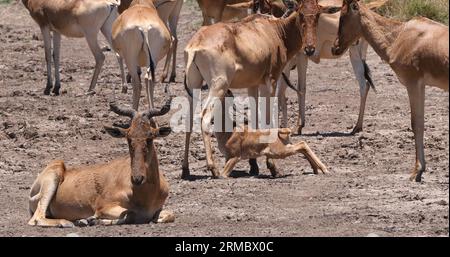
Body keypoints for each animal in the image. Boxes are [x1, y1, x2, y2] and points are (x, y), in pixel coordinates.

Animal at [27, 99, 173, 227]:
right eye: (128, 137)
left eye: (150, 136)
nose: (137, 178)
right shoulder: (104, 206)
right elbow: (129, 214)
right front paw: (90, 219)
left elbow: (169, 215)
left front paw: (88, 220)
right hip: (53, 177)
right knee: (36, 219)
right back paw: (68, 223)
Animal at [182, 0, 338, 178]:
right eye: (300, 13)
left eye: (318, 14)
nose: (310, 49)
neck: (273, 30)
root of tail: (195, 44)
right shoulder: (270, 82)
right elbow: (267, 119)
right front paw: (272, 166)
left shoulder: (253, 84)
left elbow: (255, 119)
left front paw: (254, 165)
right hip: (219, 86)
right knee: (205, 117)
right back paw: (213, 168)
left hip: (193, 84)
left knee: (188, 119)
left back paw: (185, 170)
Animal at [328, 0, 448, 181]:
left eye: (343, 16)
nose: (335, 48)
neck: (400, 35)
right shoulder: (421, 86)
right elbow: (420, 122)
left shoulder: (413, 84)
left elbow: (416, 124)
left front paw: (416, 171)